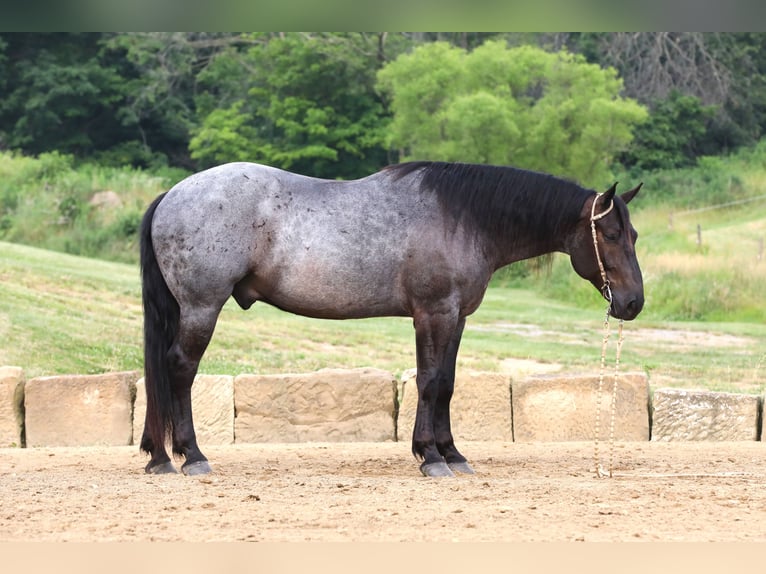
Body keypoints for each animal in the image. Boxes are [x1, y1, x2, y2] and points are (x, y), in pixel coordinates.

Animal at [141, 161, 644, 476]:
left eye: (634, 234)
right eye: (610, 234)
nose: (633, 303)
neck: (463, 218)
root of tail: (172, 194)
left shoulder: (456, 318)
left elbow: (447, 384)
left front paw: (452, 454)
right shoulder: (433, 315)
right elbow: (429, 382)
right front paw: (431, 457)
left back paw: (160, 458)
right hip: (202, 308)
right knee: (180, 370)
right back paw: (191, 456)